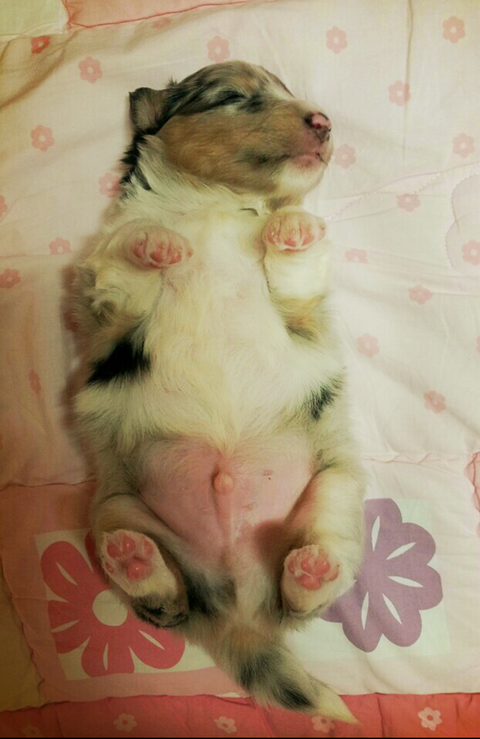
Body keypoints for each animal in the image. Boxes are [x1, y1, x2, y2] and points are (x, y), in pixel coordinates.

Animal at [73, 61, 365, 721]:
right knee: (167, 601)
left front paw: (293, 224)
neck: (216, 207)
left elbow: (295, 266)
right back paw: (136, 560)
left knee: (307, 595)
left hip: (334, 487)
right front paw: (155, 244)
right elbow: (127, 254)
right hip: (113, 506)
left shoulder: (297, 302)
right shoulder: (110, 298)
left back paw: (311, 569)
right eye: (234, 97)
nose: (324, 122)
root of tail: (238, 604)